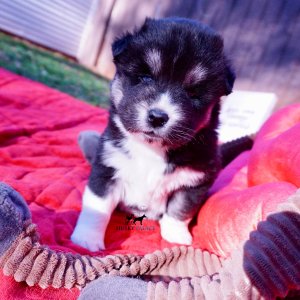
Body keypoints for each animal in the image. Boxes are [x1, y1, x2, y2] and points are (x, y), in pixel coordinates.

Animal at [71, 17, 236, 251]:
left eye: (192, 92)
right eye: (145, 77)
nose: (158, 117)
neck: (152, 149)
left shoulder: (196, 180)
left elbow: (181, 208)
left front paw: (176, 235)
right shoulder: (107, 167)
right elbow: (98, 207)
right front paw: (87, 239)